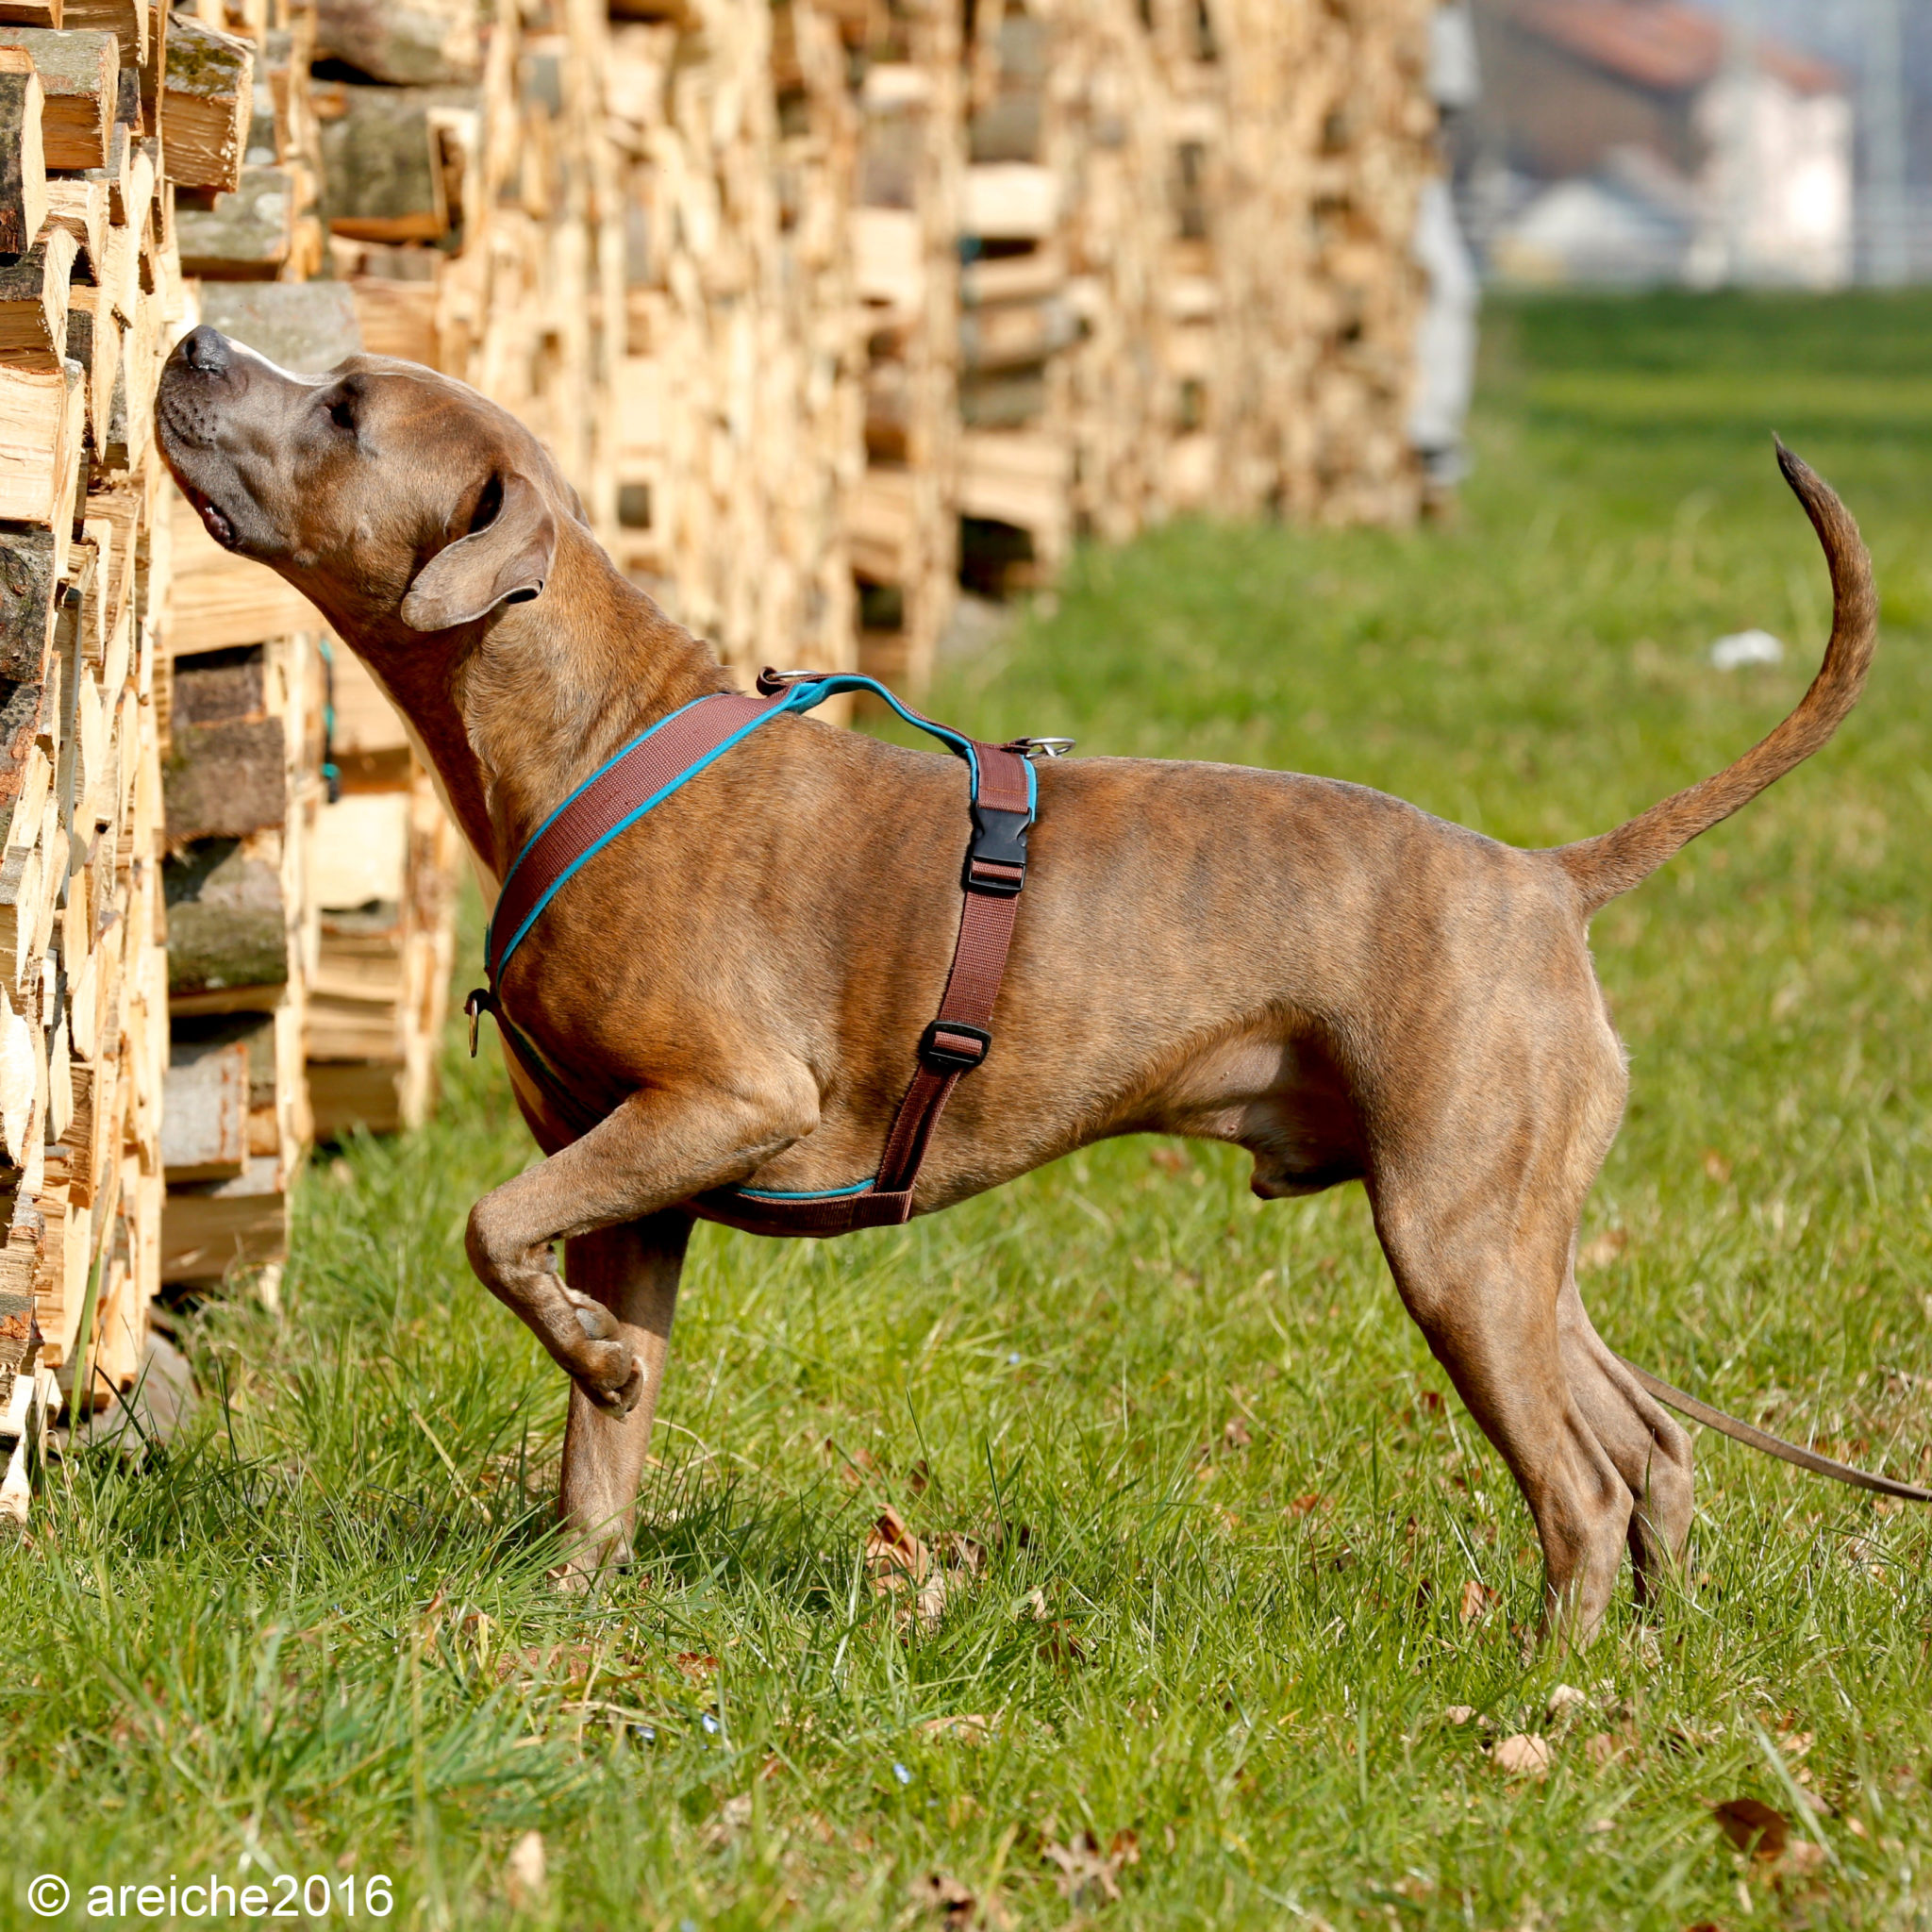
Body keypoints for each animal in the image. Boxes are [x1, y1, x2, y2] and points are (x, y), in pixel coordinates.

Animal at [158, 325, 1877, 1638]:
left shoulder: (719, 1106)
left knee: (1579, 1483)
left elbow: (491, 1231)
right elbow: (601, 1429)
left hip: (1453, 1241)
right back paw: (1644, 1655)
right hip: (1508, 1237)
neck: (585, 731)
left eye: (345, 411)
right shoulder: (636, 1189)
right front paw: (575, 1572)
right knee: (1648, 1441)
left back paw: (1545, 1683)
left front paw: (581, 1360)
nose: (191, 336)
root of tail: (1543, 875)